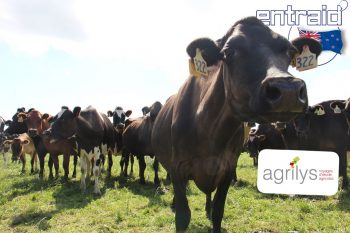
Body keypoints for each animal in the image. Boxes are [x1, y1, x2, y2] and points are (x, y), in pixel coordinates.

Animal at [150, 16, 320, 233]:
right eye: (229, 52)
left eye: (290, 52)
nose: (287, 89)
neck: (210, 133)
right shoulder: (177, 168)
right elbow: (183, 216)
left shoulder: (227, 169)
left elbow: (218, 212)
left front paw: (212, 213)